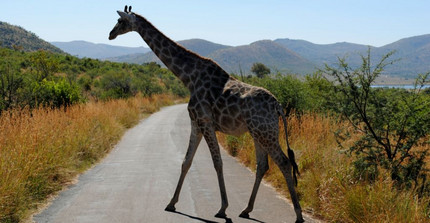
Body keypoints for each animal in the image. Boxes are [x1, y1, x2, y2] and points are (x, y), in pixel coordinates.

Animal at [110, 5, 306, 223]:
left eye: (120, 21)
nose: (110, 34)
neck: (189, 77)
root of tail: (278, 106)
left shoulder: (205, 121)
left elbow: (217, 162)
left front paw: (222, 208)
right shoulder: (195, 122)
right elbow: (186, 161)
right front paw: (171, 203)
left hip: (265, 132)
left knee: (284, 162)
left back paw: (298, 214)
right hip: (259, 132)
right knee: (263, 165)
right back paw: (246, 209)